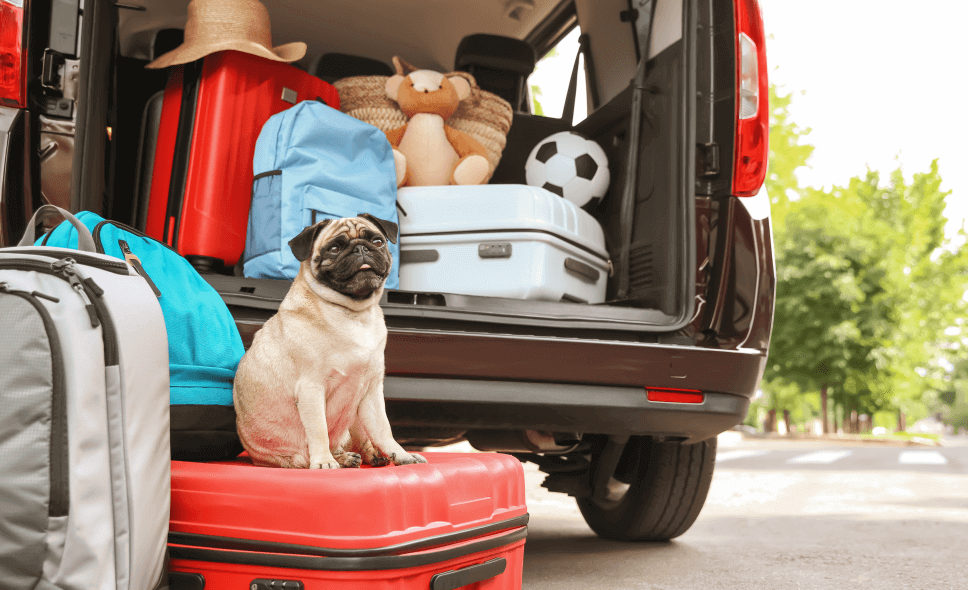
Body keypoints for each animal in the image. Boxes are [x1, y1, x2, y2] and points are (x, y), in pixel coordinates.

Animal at [233, 215, 426, 470]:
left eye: (377, 241)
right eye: (334, 249)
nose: (360, 248)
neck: (355, 314)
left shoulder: (371, 392)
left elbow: (384, 430)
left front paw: (403, 456)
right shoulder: (311, 389)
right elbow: (319, 430)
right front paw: (324, 461)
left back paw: (365, 456)